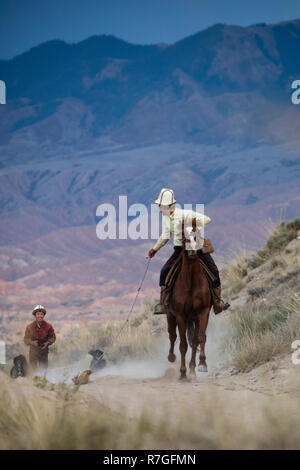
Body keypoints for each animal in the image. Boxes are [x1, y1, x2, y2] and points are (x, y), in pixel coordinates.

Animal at [166, 226, 213, 380]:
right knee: (172, 336)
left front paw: (202, 364)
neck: (191, 283)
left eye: (197, 235)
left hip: (194, 318)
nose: (192, 250)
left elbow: (200, 338)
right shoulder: (180, 315)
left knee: (194, 340)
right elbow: (183, 345)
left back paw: (192, 369)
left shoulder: (203, 312)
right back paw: (171, 357)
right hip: (170, 315)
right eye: (183, 237)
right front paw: (182, 373)